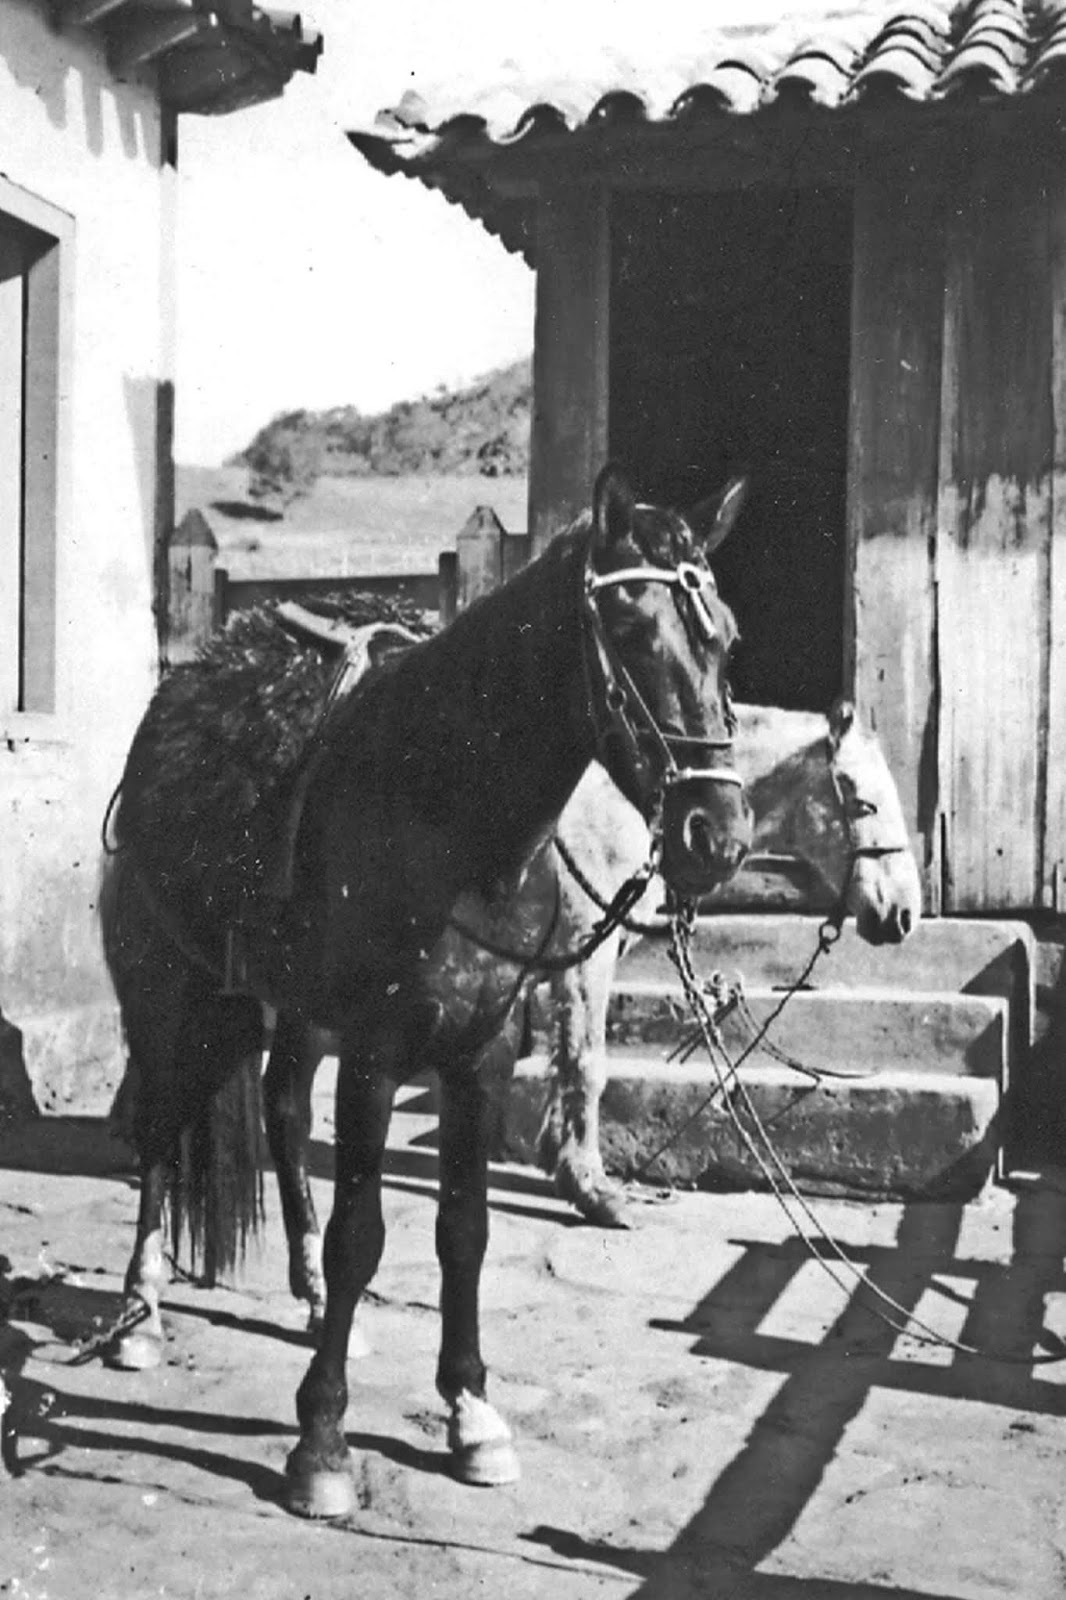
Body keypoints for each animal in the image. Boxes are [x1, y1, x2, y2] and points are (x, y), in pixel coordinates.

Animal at [99, 460, 745, 1510]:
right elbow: (364, 1230)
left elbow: (463, 1231)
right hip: (169, 1005)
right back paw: (142, 1310)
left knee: (282, 1111)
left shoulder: (477, 1056)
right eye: (634, 632)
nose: (716, 836)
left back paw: (316, 1301)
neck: (446, 810)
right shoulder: (376, 1052)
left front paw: (472, 1414)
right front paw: (322, 1441)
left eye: (724, 639)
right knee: (159, 1134)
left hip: (291, 1017)